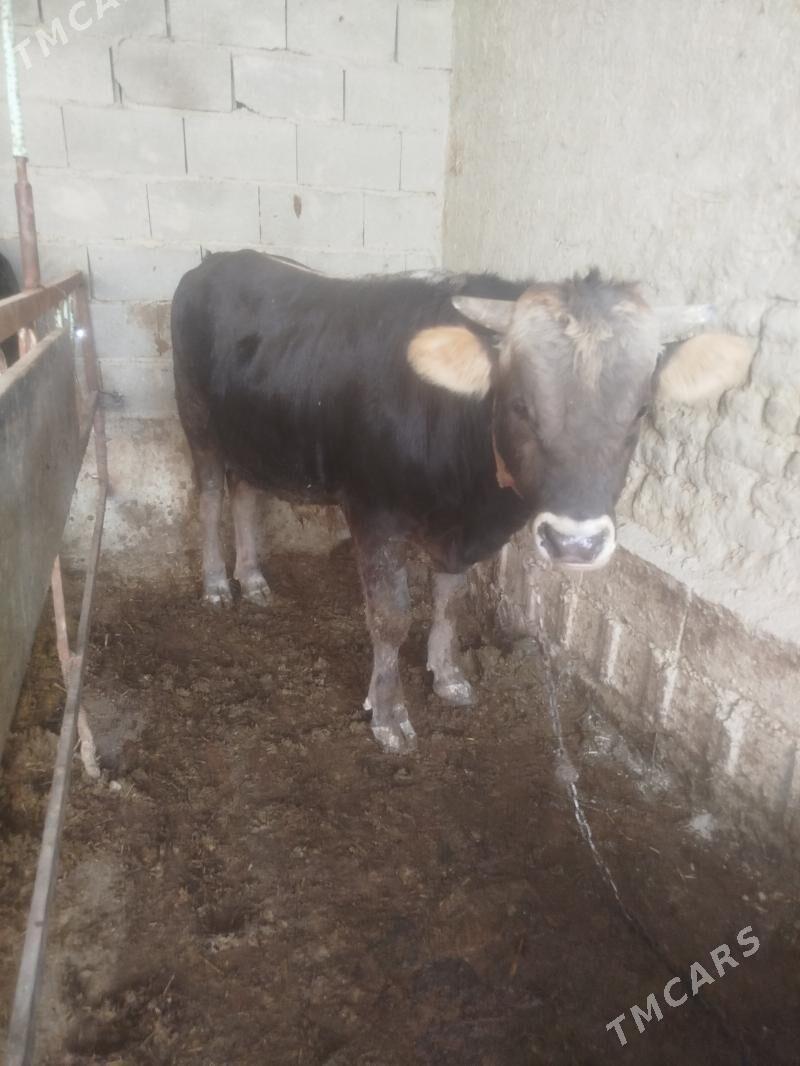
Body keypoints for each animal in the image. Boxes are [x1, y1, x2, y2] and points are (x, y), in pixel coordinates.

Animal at [171, 250, 751, 754]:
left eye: (640, 411)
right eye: (518, 405)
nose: (575, 543)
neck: (474, 496)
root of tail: (218, 259)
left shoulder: (463, 534)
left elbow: (450, 599)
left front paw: (447, 675)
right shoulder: (373, 513)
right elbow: (390, 616)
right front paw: (388, 715)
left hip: (254, 436)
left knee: (245, 494)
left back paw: (253, 579)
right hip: (197, 420)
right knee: (210, 495)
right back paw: (218, 584)